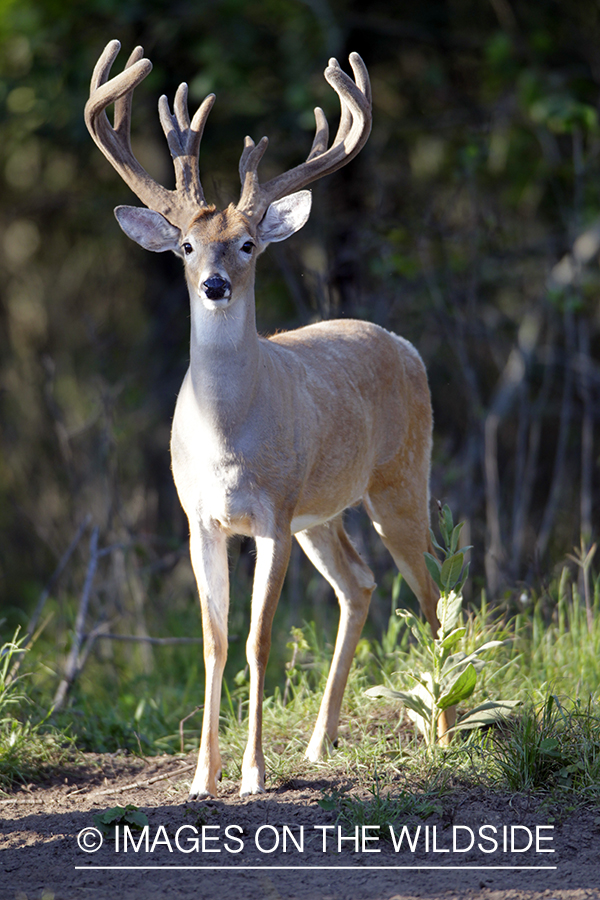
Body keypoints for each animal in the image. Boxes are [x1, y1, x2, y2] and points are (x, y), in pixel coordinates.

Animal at [83, 40, 450, 800]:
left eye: (249, 243)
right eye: (187, 246)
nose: (216, 285)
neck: (227, 442)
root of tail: (402, 344)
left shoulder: (273, 514)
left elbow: (258, 639)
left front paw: (252, 773)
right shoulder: (201, 518)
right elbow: (214, 640)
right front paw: (203, 777)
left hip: (399, 479)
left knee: (432, 588)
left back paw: (443, 731)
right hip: (325, 511)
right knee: (360, 584)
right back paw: (320, 741)